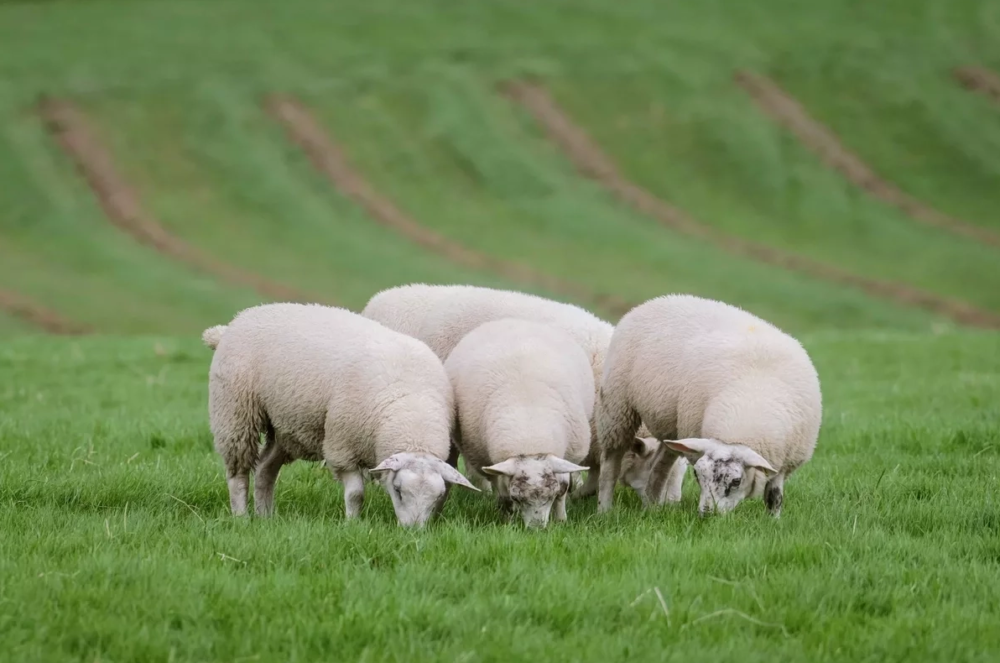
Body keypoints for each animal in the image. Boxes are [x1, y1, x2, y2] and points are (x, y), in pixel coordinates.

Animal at [204, 302, 478, 527]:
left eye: (438, 497)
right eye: (398, 490)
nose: (413, 532)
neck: (412, 407)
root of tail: (235, 322)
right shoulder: (342, 445)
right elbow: (356, 493)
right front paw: (352, 524)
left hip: (286, 425)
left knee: (265, 469)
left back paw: (265, 516)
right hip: (235, 412)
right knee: (238, 473)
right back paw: (241, 517)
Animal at [443, 318, 591, 528]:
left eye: (550, 496)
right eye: (518, 498)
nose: (536, 529)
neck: (529, 433)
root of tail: (510, 320)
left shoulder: (567, 455)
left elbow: (563, 489)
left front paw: (561, 519)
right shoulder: (492, 465)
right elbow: (503, 496)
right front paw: (507, 521)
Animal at [596, 294, 822, 517]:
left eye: (736, 481)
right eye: (697, 476)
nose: (706, 514)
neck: (751, 399)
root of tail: (657, 300)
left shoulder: (783, 464)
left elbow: (774, 497)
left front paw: (773, 521)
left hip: (673, 425)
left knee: (661, 464)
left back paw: (652, 506)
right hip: (618, 405)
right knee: (611, 461)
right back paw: (605, 509)